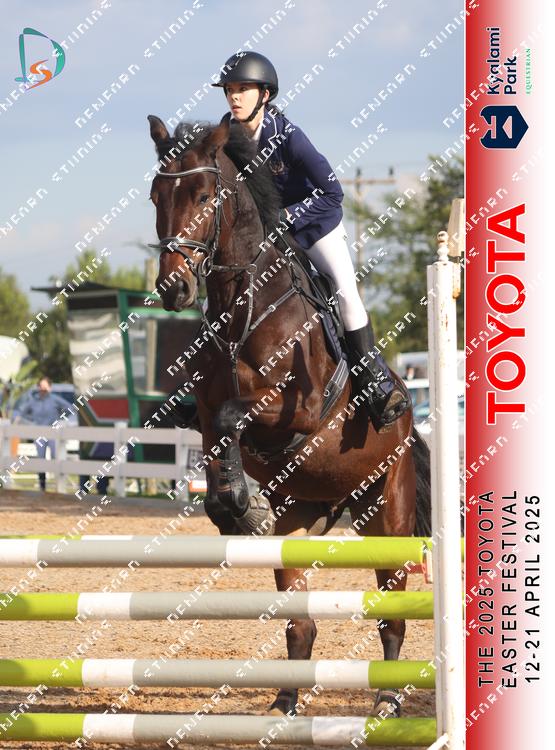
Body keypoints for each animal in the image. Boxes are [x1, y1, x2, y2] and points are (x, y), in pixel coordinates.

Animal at [147, 113, 432, 717]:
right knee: (301, 623)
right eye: (157, 196)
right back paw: (285, 702)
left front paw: (240, 504)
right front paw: (235, 506)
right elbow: (216, 440)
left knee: (392, 616)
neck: (243, 307)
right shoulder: (204, 411)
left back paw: (387, 702)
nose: (174, 287)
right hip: (303, 515)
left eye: (204, 196)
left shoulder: (299, 411)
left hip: (386, 511)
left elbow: (235, 416)